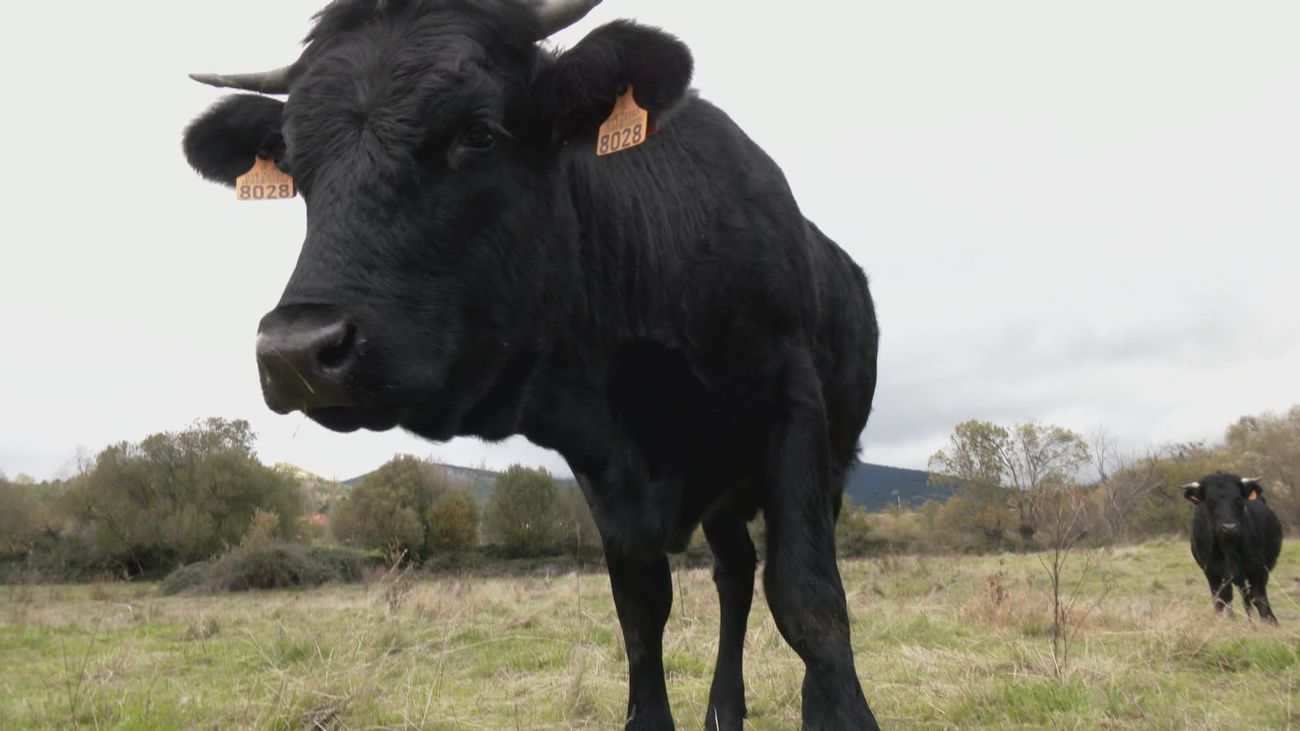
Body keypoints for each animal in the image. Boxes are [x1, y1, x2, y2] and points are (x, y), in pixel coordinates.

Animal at [182, 1, 881, 728]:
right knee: (734, 573)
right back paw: (723, 708)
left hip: (826, 458)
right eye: (296, 164)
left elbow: (809, 597)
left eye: (479, 131)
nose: (295, 351)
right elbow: (640, 611)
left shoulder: (791, 409)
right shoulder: (603, 464)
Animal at [1182, 472, 1283, 624]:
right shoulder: (1212, 572)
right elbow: (1221, 599)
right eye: (1210, 501)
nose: (1229, 527)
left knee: (1247, 598)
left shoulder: (1258, 569)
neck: (1229, 548)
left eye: (1238, 500)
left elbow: (1259, 599)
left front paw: (1271, 623)